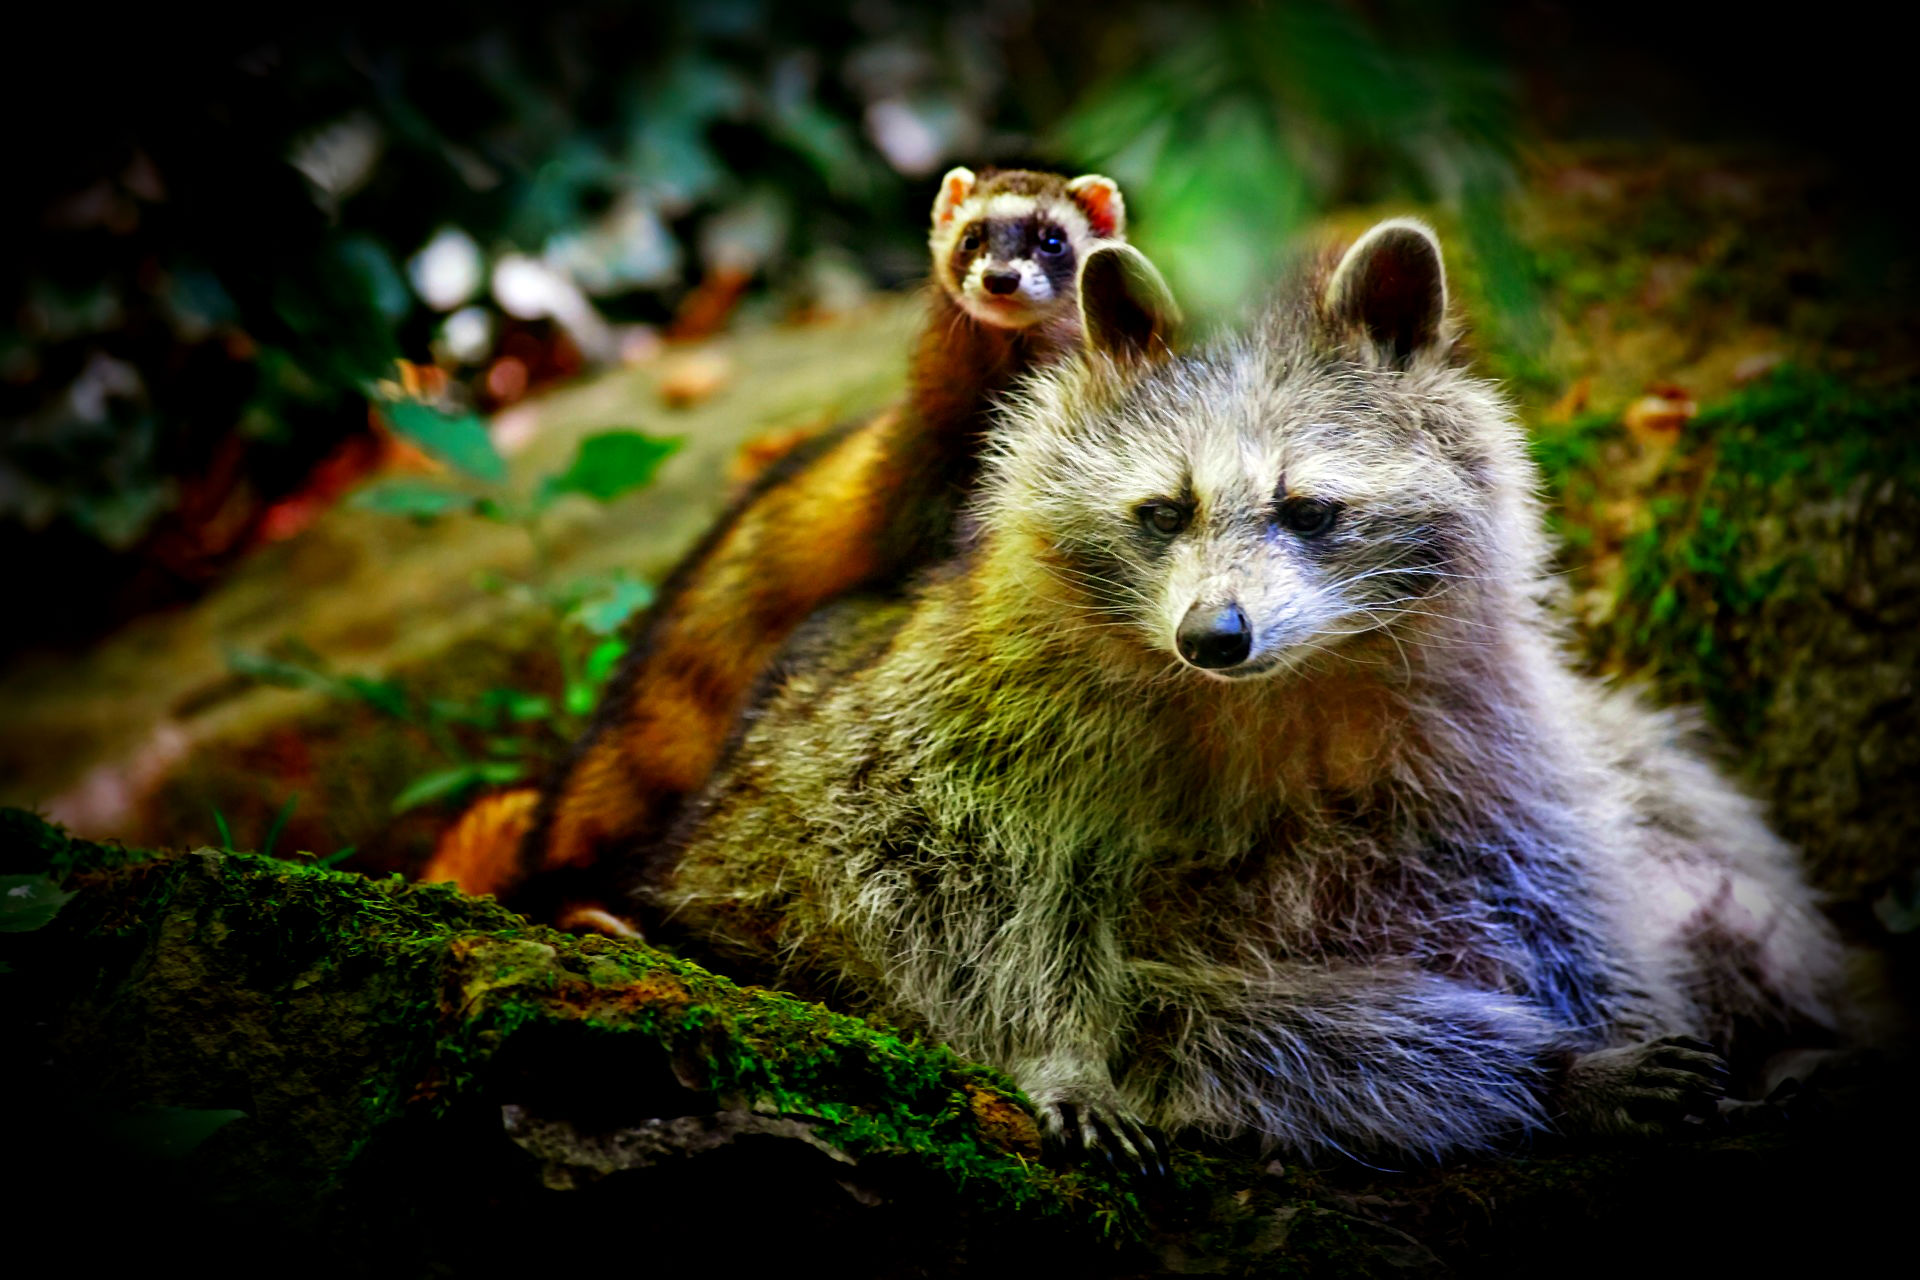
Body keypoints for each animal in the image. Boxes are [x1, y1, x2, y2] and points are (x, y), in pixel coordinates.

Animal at [654, 225, 1848, 1170]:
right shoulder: (978, 724)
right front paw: (1058, 1049)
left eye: (1308, 509)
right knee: (1252, 1026)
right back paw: (1541, 1073)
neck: (1275, 683)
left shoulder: (1476, 714)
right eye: (1163, 511)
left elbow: (1540, 872)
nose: (1213, 636)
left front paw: (1619, 1010)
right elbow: (948, 888)